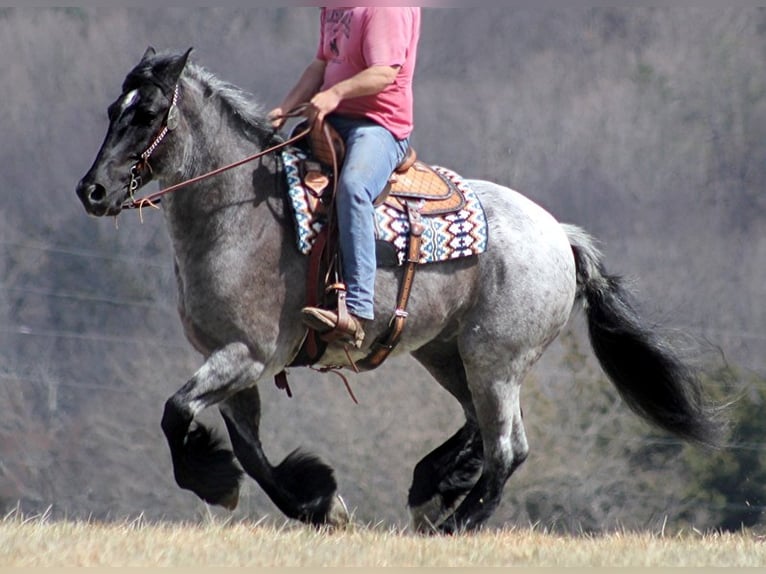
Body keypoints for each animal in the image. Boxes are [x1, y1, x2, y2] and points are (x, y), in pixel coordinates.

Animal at [75, 48, 724, 536]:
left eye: (147, 111)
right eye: (111, 109)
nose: (93, 190)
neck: (240, 215)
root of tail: (560, 236)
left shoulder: (246, 354)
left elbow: (176, 413)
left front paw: (223, 483)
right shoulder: (233, 364)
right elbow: (250, 454)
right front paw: (318, 504)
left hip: (495, 359)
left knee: (507, 448)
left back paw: (455, 521)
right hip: (447, 353)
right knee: (478, 428)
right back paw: (432, 486)